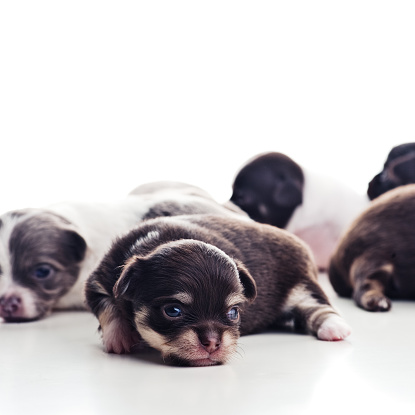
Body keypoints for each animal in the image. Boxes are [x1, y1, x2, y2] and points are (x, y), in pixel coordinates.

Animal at [84, 214, 352, 368]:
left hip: (302, 283)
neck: (159, 240)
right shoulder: (98, 282)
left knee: (318, 305)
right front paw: (119, 336)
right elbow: (108, 307)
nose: (213, 343)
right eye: (173, 311)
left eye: (233, 313)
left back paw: (334, 327)